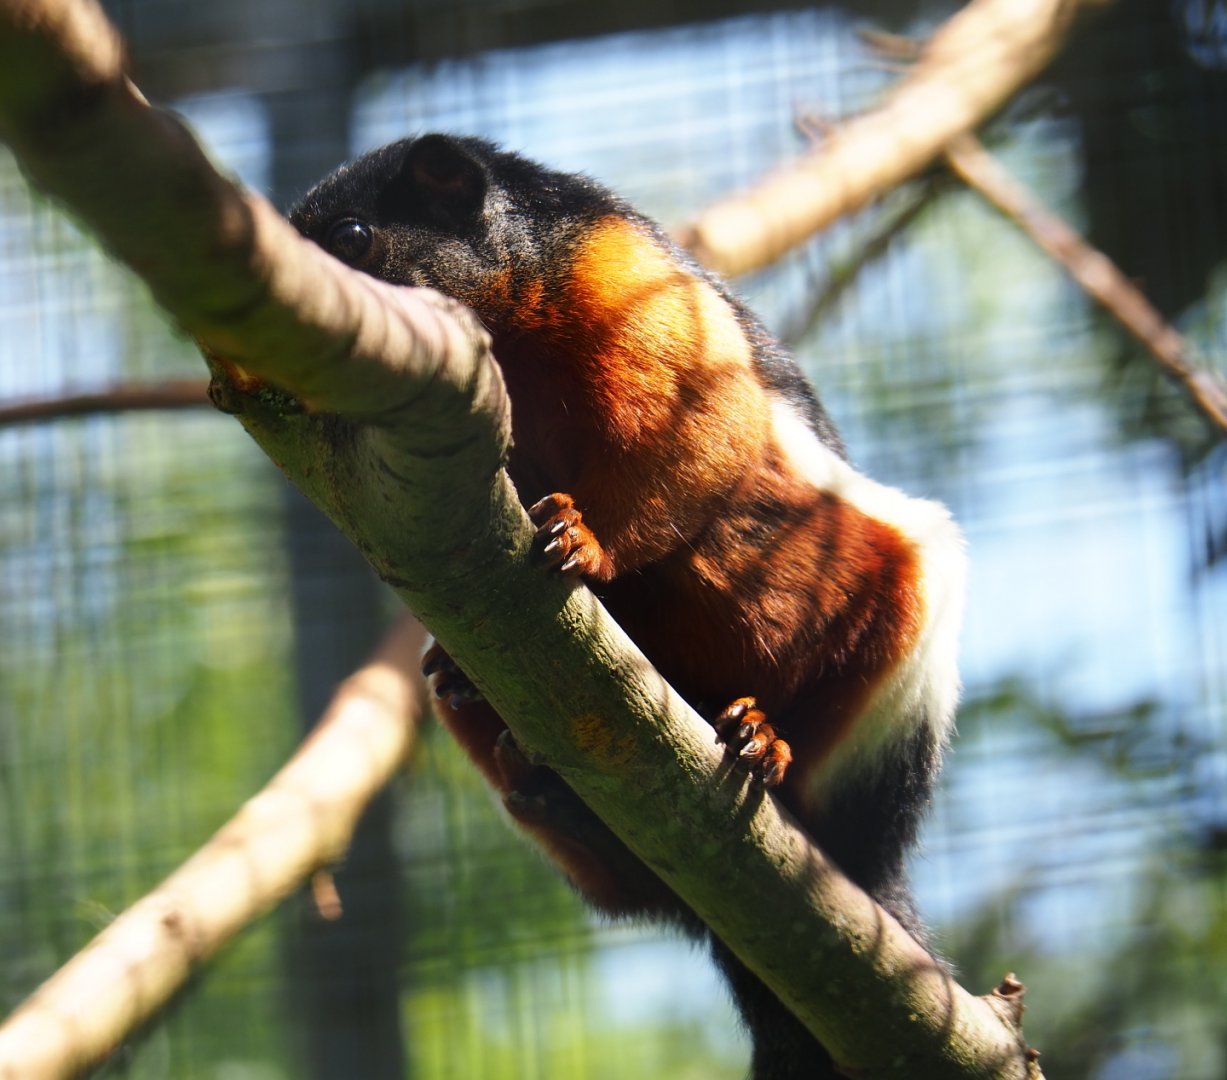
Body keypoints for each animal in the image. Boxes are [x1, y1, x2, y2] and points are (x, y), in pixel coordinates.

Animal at [288, 133, 966, 1080]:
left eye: (354, 236)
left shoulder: (620, 272)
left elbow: (699, 422)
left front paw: (589, 542)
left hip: (894, 634)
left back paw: (766, 742)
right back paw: (536, 777)